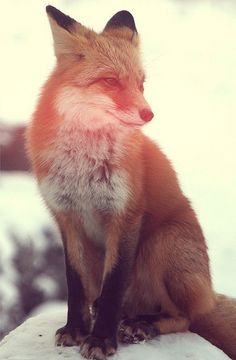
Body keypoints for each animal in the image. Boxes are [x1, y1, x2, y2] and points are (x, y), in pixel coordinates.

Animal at [26, 5, 236, 360]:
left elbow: (114, 286)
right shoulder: (67, 217)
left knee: (184, 317)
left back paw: (142, 324)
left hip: (161, 243)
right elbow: (75, 285)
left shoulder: (125, 215)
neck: (83, 166)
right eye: (110, 81)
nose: (148, 114)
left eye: (141, 84)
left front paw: (101, 340)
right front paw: (76, 329)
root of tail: (209, 294)